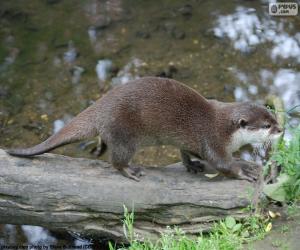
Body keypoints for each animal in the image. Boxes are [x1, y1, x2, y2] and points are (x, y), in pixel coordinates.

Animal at [7, 77, 284, 181]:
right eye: (267, 126)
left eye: (272, 116)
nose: (282, 129)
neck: (226, 130)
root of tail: (101, 106)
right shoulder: (212, 139)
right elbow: (222, 163)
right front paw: (245, 169)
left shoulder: (192, 141)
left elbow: (186, 152)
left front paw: (192, 165)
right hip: (124, 135)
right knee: (116, 160)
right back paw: (131, 171)